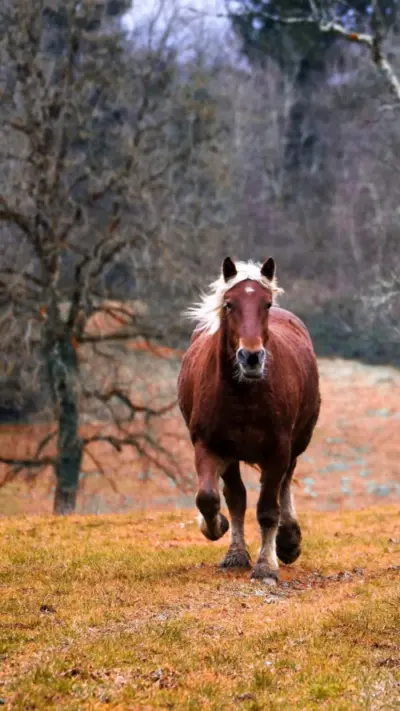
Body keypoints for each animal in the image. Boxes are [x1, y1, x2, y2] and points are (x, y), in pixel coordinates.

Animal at [178, 257, 321, 585]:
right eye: (229, 304)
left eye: (266, 304)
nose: (251, 358)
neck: (244, 394)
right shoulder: (209, 446)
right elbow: (210, 498)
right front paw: (217, 528)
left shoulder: (278, 449)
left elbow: (268, 509)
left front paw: (267, 566)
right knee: (236, 497)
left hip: (295, 445)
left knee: (284, 485)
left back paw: (288, 541)